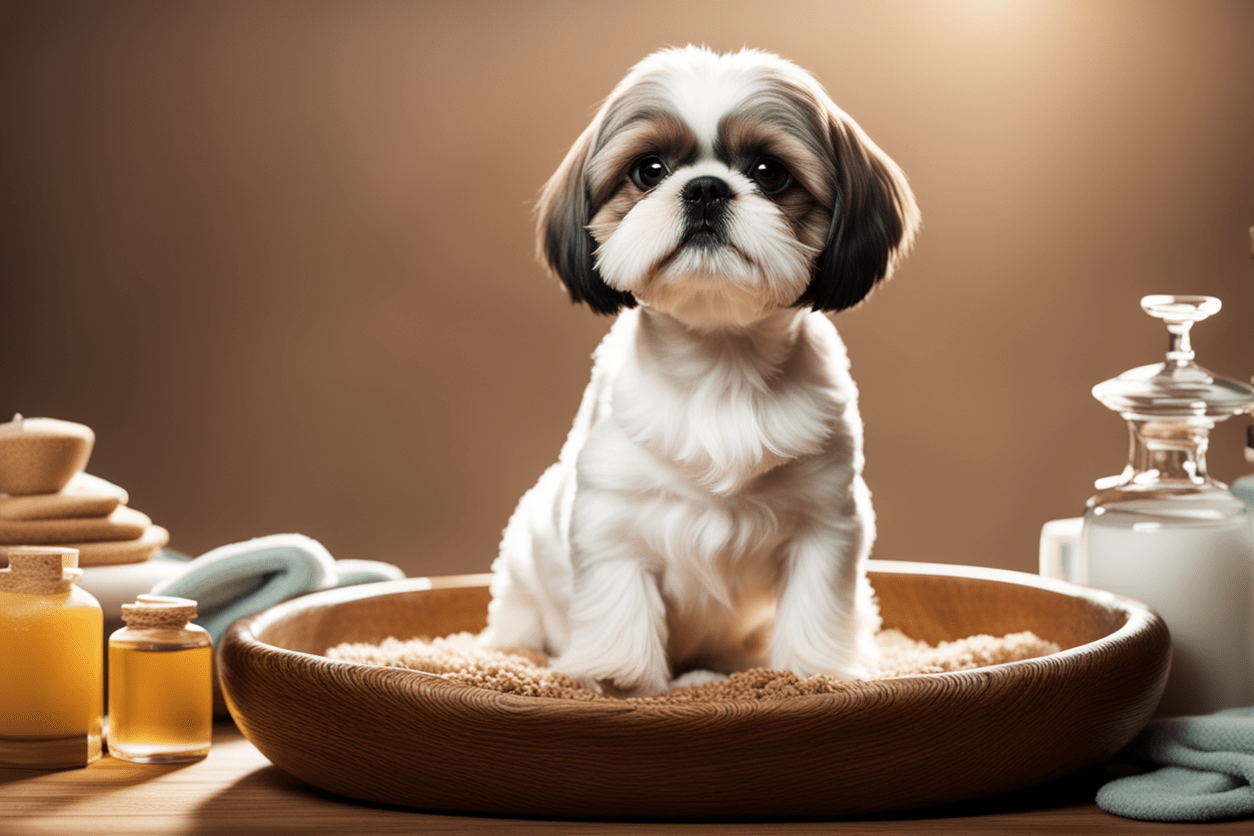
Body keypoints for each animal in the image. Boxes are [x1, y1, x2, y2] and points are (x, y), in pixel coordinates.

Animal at [481, 47, 922, 701]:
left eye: (770, 172)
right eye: (649, 170)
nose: (706, 188)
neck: (720, 367)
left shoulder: (826, 522)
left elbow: (814, 608)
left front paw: (810, 674)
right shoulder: (612, 520)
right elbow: (621, 606)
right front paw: (618, 679)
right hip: (522, 576)